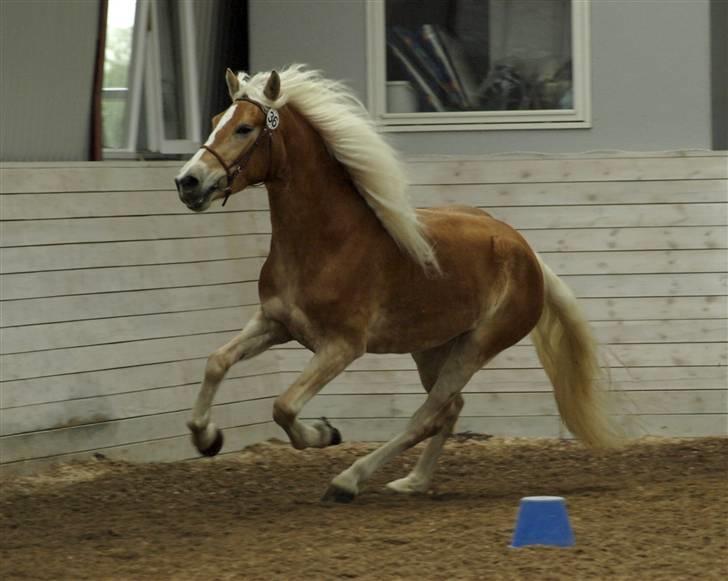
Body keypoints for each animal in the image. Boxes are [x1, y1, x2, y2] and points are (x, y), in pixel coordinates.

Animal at [175, 62, 620, 498]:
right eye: (215, 121)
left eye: (245, 128)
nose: (188, 182)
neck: (328, 242)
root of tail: (526, 252)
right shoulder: (275, 322)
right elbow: (217, 362)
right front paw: (207, 439)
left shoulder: (341, 346)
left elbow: (283, 407)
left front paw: (324, 433)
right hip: (431, 348)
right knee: (450, 410)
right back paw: (413, 481)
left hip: (476, 347)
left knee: (428, 416)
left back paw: (349, 480)